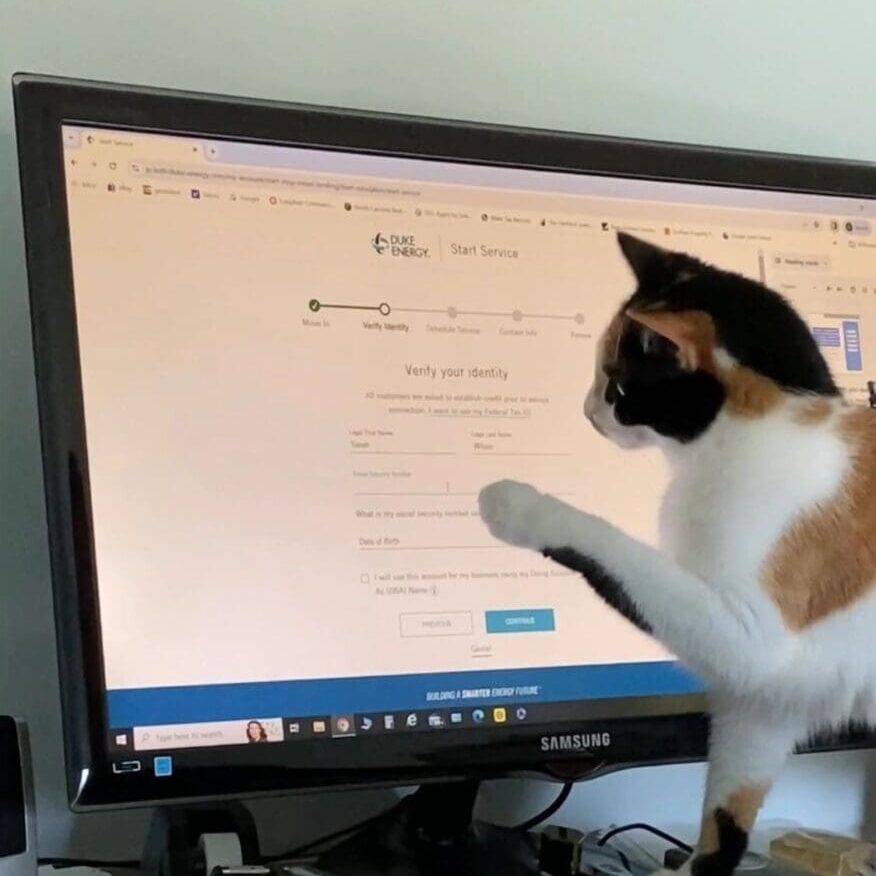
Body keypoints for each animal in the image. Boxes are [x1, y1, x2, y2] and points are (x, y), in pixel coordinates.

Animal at [480, 233, 876, 876]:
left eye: (618, 386)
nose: (588, 412)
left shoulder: (751, 636)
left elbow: (618, 554)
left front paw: (520, 504)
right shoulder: (762, 706)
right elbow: (725, 821)